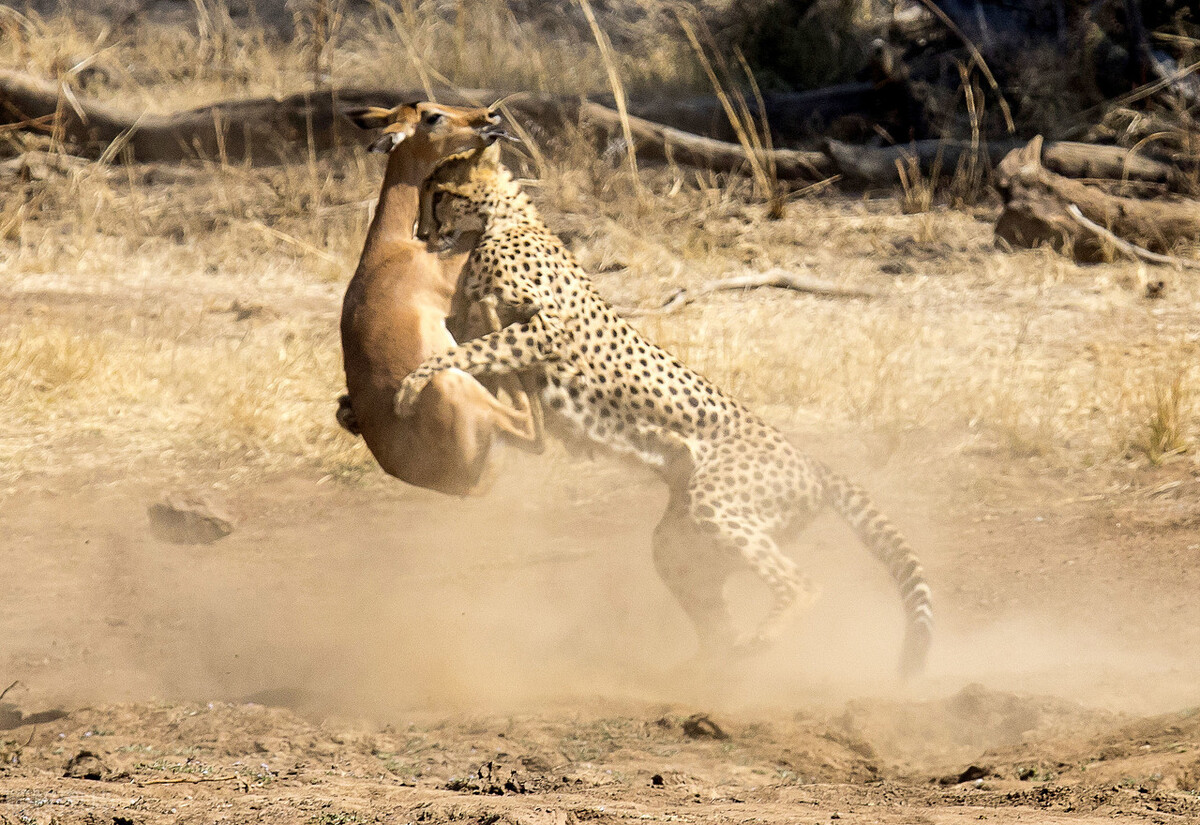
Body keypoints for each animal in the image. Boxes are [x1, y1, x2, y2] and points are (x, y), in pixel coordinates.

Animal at [398, 140, 931, 671]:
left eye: (439, 193)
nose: (422, 233)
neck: (504, 220)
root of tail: (812, 461)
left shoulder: (545, 329)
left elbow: (462, 351)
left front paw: (412, 384)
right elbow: (467, 343)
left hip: (717, 506)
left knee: (803, 585)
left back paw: (761, 639)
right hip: (679, 542)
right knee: (712, 610)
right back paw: (705, 669)